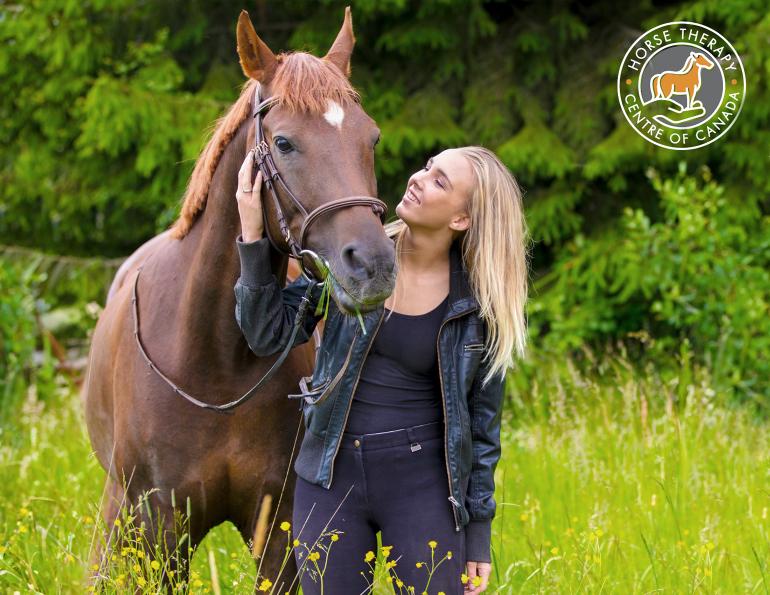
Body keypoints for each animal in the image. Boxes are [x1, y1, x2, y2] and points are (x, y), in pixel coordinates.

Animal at [82, 9, 396, 592]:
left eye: (372, 138)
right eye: (284, 143)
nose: (373, 265)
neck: (215, 357)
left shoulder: (280, 530)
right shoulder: (161, 531)